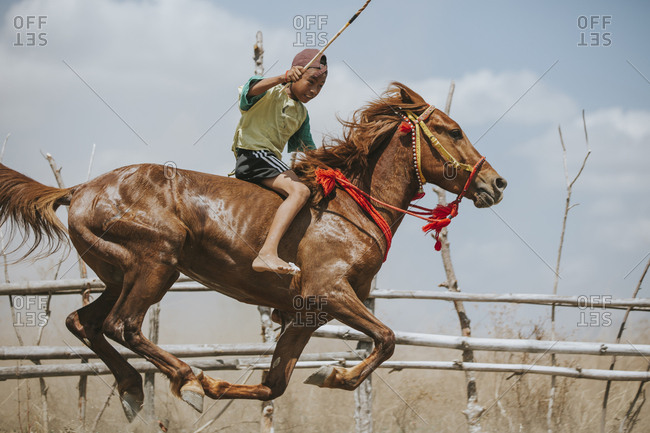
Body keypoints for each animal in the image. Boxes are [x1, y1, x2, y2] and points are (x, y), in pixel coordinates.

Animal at [0, 82, 506, 421]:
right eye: (453, 130)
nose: (496, 183)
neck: (351, 207)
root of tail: (80, 189)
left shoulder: (306, 315)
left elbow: (274, 385)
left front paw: (239, 381)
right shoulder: (330, 293)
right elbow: (386, 338)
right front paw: (334, 375)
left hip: (119, 273)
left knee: (83, 322)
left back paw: (131, 387)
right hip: (157, 263)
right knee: (121, 324)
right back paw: (187, 378)